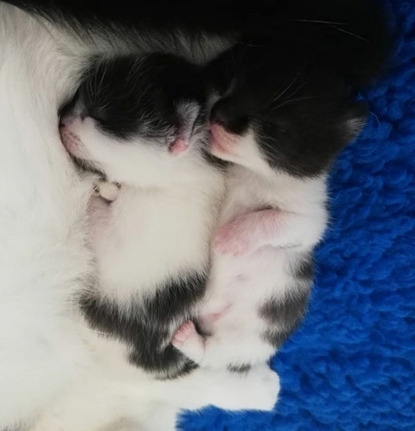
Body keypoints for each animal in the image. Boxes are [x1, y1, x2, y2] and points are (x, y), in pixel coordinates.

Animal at [172, 44, 368, 372]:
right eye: (230, 87)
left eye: (270, 124)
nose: (217, 112)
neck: (251, 174)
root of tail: (208, 310)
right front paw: (183, 136)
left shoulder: (311, 218)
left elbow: (275, 219)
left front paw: (232, 237)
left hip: (251, 337)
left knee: (216, 354)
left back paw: (189, 339)